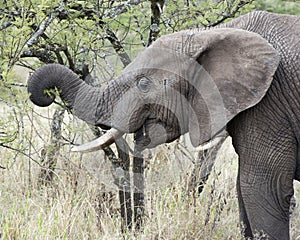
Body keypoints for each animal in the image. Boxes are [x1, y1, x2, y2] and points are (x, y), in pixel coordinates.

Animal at [27, 10, 298, 239]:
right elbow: (244, 192)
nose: (46, 94)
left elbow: (263, 188)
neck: (209, 33)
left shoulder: (269, 103)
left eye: (144, 84)